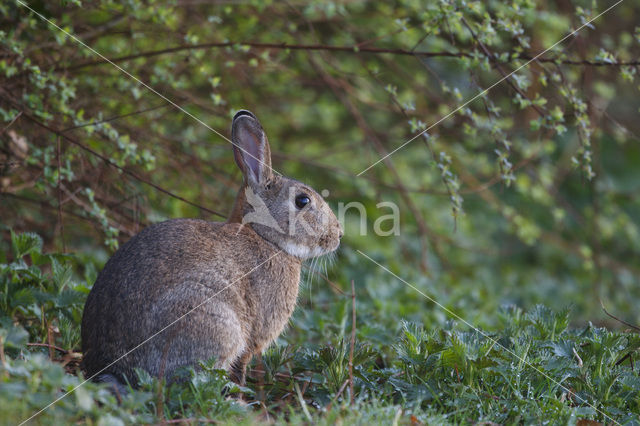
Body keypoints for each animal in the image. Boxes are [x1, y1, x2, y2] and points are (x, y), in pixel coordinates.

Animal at [81, 110, 344, 392]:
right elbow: (242, 363)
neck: (265, 237)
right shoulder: (254, 333)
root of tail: (113, 367)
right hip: (214, 322)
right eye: (302, 201)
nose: (338, 235)